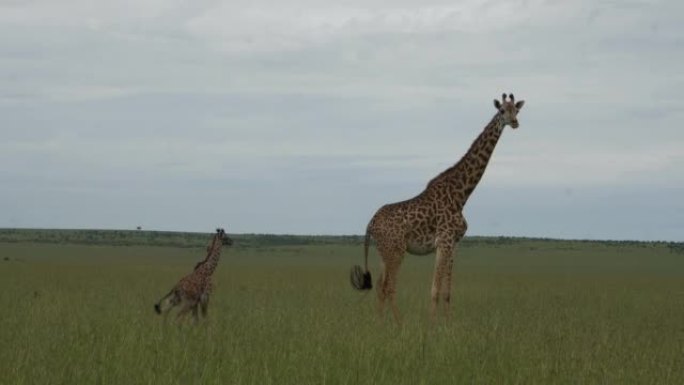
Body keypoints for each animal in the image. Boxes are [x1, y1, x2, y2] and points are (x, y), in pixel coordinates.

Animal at [352, 92, 524, 320]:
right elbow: (434, 290)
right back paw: (399, 323)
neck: (461, 195)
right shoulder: (444, 241)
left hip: (384, 253)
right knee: (389, 287)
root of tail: (370, 223)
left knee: (381, 286)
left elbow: (447, 291)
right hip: (395, 251)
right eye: (502, 110)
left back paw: (380, 322)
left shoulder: (453, 244)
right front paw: (431, 324)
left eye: (517, 110)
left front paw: (447, 323)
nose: (514, 122)